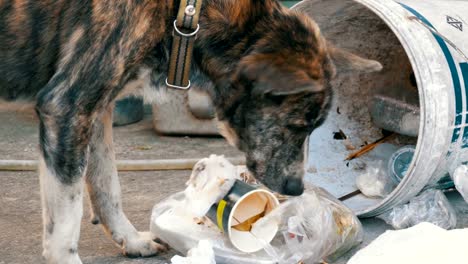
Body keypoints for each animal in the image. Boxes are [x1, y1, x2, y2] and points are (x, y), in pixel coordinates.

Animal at [0, 0, 380, 262]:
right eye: (297, 125)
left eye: (315, 128)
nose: (296, 189)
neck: (186, 13)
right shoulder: (67, 105)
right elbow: (66, 222)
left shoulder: (97, 110)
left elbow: (107, 186)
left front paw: (131, 241)